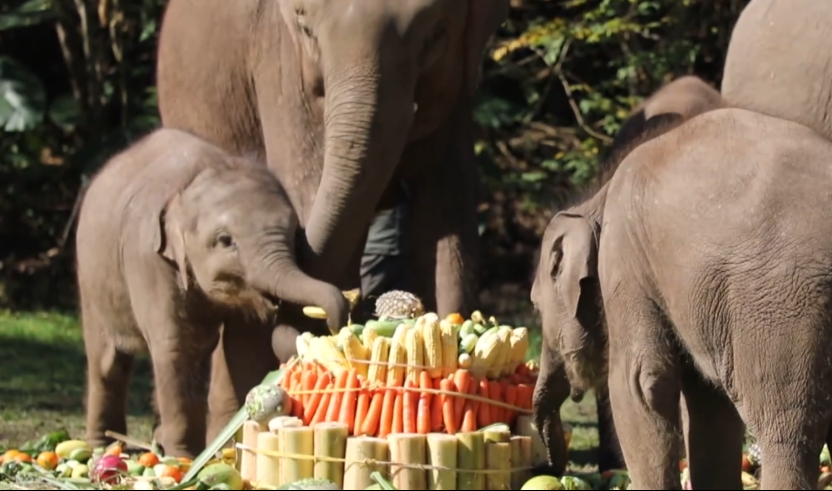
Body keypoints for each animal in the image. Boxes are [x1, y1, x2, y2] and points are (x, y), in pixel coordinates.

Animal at [76, 127, 350, 458]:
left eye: (294, 231)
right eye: (224, 241)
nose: (335, 324)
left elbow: (243, 344)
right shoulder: (148, 260)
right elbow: (175, 345)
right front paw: (183, 457)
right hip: (90, 279)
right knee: (107, 362)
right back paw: (102, 447)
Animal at [154, 0, 508, 444]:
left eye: (436, 33)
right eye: (304, 25)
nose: (340, 315)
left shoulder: (456, 97)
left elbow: (447, 213)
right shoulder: (281, 64)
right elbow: (307, 185)